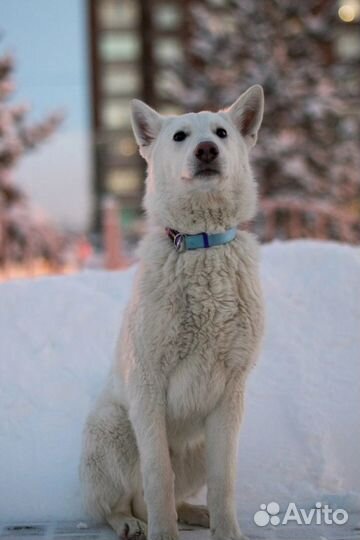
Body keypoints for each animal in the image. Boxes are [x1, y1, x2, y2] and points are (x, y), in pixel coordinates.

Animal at [81, 85, 264, 540]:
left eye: (221, 132)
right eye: (180, 136)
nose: (206, 150)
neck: (201, 246)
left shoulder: (230, 395)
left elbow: (223, 481)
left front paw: (226, 530)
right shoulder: (149, 385)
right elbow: (157, 476)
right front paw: (163, 534)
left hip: (195, 448)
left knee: (178, 496)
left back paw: (196, 514)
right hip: (114, 427)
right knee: (121, 502)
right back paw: (131, 523)